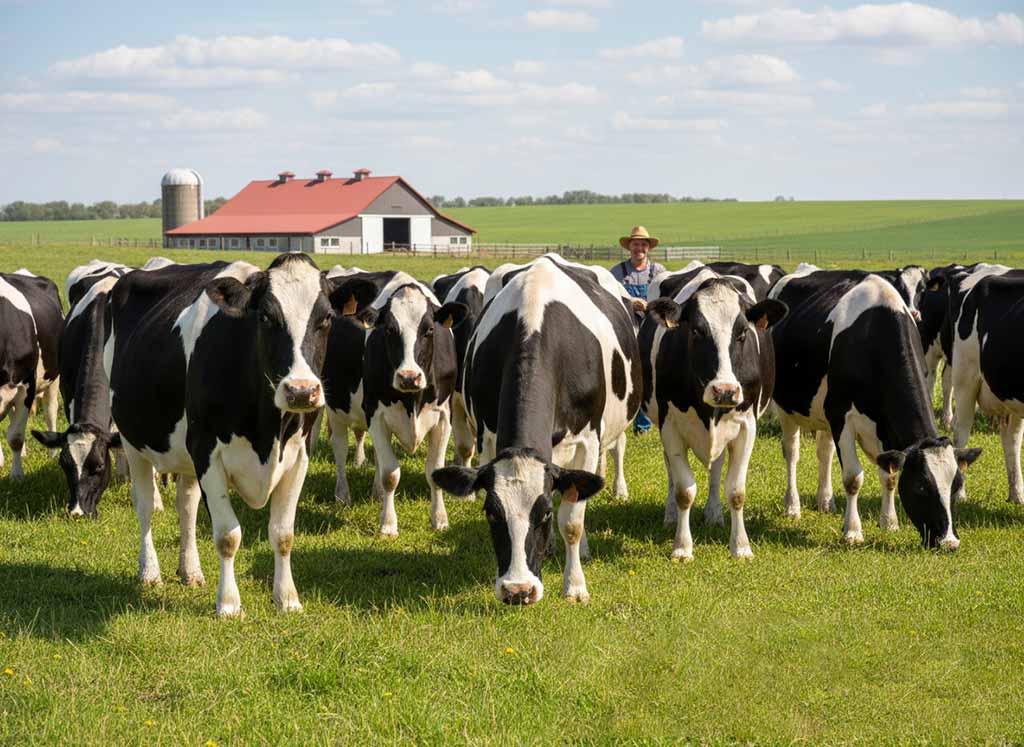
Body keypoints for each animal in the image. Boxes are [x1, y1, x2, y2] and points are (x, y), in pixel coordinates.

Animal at [0, 270, 63, 478]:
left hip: (54, 378)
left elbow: (16, 437)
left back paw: (53, 453)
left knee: (50, 411)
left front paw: (17, 476)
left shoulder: (25, 386)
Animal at [106, 254, 376, 616]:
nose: (301, 391)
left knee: (186, 506)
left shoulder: (298, 456)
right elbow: (227, 536)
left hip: (185, 453)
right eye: (266, 317)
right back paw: (150, 572)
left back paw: (190, 571)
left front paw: (287, 599)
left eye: (326, 319)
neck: (267, 430)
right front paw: (229, 604)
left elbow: (283, 533)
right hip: (132, 439)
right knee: (146, 504)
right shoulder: (208, 451)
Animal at [322, 271, 467, 536]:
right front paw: (388, 525)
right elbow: (391, 474)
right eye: (389, 330)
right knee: (339, 449)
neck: (412, 400)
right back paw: (342, 495)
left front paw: (440, 519)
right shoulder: (376, 415)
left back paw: (377, 493)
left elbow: (434, 471)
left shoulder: (444, 417)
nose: (409, 376)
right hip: (335, 407)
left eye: (429, 330)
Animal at [640, 270, 786, 559]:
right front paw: (682, 547)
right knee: (671, 472)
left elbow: (736, 491)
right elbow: (684, 490)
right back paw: (671, 515)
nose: (725, 390)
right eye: (696, 330)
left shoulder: (747, 427)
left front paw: (741, 547)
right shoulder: (669, 426)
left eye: (743, 332)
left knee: (716, 468)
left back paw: (714, 513)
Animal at [769, 270, 981, 549]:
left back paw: (826, 501)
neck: (873, 337)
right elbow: (853, 478)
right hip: (787, 408)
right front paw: (852, 532)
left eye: (957, 486)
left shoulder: (883, 425)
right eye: (921, 487)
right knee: (792, 453)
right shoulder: (841, 416)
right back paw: (792, 507)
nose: (949, 542)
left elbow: (889, 476)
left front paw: (889, 522)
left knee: (824, 451)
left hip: (823, 412)